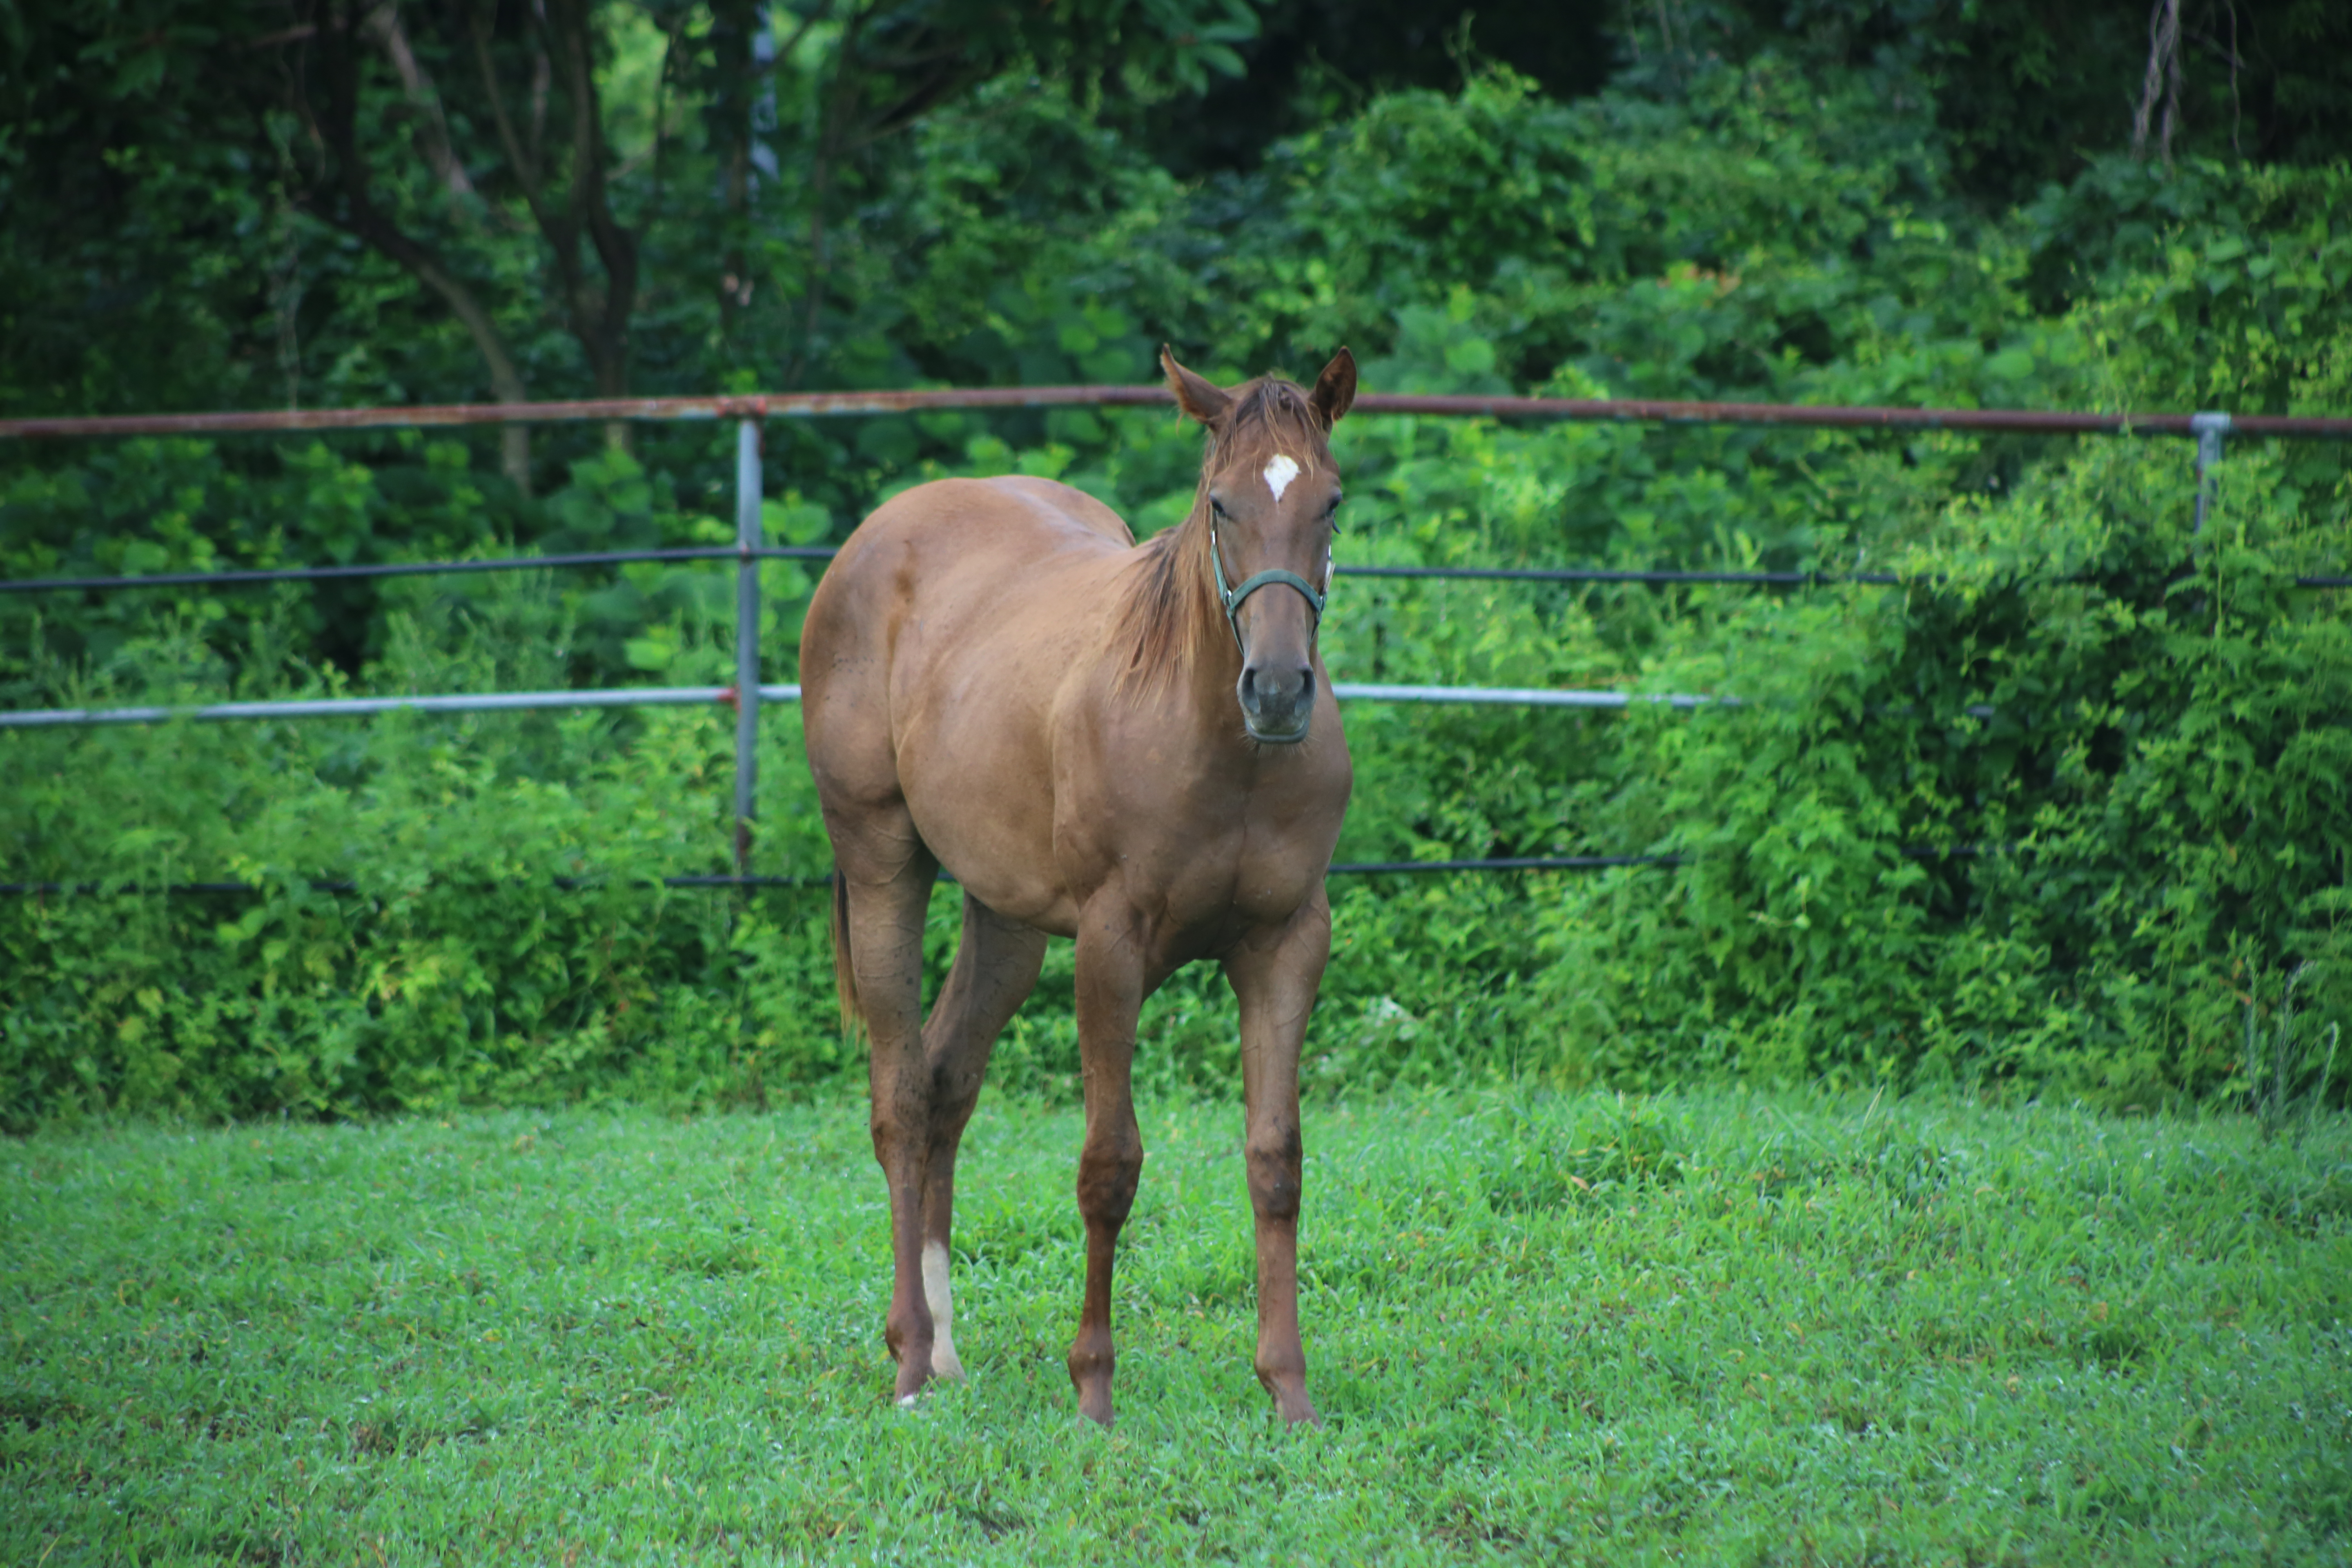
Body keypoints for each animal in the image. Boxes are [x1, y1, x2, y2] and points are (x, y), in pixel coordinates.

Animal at [800, 350, 1364, 1429]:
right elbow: (1109, 1166)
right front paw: (1094, 1393)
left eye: (1331, 501)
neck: (1214, 745)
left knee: (947, 1083)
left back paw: (946, 1350)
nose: (1276, 690)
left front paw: (1289, 1391)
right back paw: (908, 1361)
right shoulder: (1112, 946)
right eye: (1220, 503)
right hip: (885, 864)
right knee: (900, 1100)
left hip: (1007, 919)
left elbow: (1276, 1162)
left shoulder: (1287, 941)